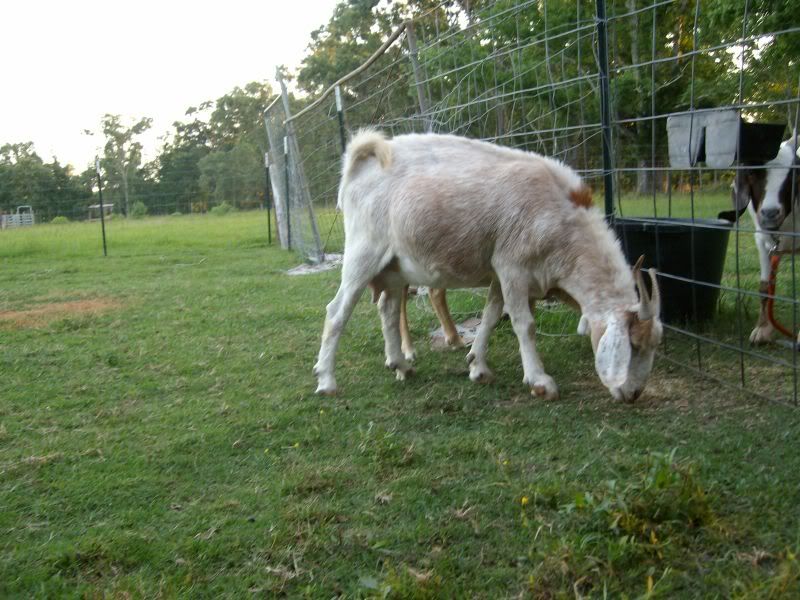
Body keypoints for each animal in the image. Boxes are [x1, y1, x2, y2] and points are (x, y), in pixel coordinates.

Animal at [313, 130, 662, 402]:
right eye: (632, 344)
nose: (633, 394)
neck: (563, 222)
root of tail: (362, 162)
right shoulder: (513, 267)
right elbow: (524, 324)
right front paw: (539, 381)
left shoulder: (502, 272)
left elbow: (492, 315)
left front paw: (477, 366)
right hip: (364, 251)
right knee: (336, 311)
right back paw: (327, 380)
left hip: (396, 266)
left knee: (387, 308)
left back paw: (401, 364)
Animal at [732, 136, 800, 344]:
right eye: (752, 172)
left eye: (794, 176)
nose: (770, 213)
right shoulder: (763, 241)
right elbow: (764, 287)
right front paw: (762, 329)